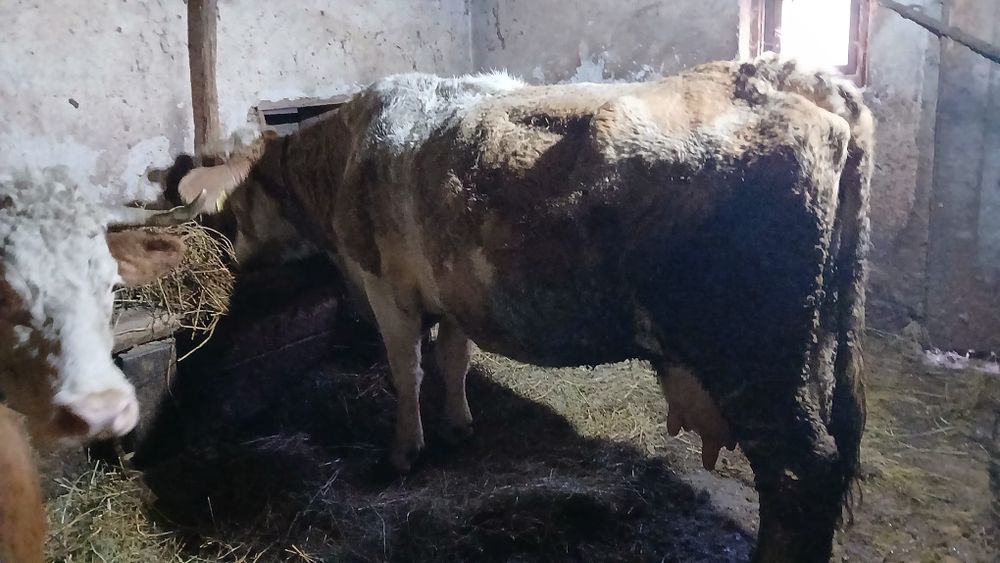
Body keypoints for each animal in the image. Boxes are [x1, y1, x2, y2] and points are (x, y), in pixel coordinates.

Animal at [166, 54, 873, 562]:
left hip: (755, 358)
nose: (232, 251)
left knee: (802, 474)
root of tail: (796, 79)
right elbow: (451, 359)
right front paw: (457, 426)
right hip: (812, 351)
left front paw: (403, 451)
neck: (347, 156)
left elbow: (406, 371)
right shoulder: (449, 291)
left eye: (237, 200)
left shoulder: (387, 289)